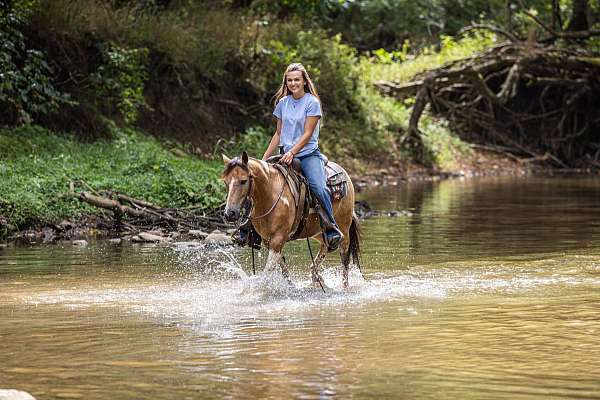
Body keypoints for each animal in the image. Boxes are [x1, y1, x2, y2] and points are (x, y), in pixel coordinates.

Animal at [221, 151, 358, 288]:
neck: (271, 195)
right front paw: (291, 286)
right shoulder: (268, 240)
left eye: (243, 181)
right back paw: (316, 278)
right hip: (318, 231)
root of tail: (345, 174)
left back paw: (344, 286)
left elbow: (267, 271)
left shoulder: (278, 239)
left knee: (345, 259)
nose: (229, 213)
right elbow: (283, 268)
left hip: (344, 228)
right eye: (226, 182)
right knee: (325, 245)